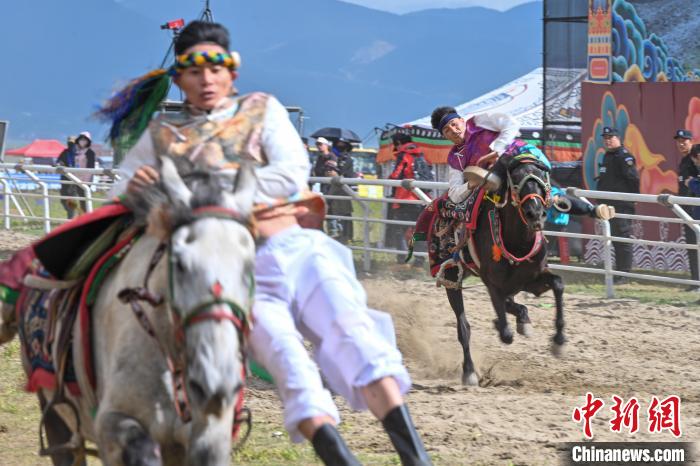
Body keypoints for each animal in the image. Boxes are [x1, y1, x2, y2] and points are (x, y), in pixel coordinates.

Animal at [18, 157, 257, 466]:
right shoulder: (111, 425)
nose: (214, 383)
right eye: (179, 263)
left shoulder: (210, 436)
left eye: (250, 266)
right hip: (56, 419)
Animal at [441, 146, 565, 386]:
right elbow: (505, 332)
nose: (535, 214)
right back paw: (470, 372)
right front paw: (503, 324)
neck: (517, 241)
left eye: (541, 175)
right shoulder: (493, 283)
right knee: (464, 327)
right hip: (451, 278)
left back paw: (522, 318)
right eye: (515, 179)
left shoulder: (532, 279)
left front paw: (558, 340)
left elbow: (558, 284)